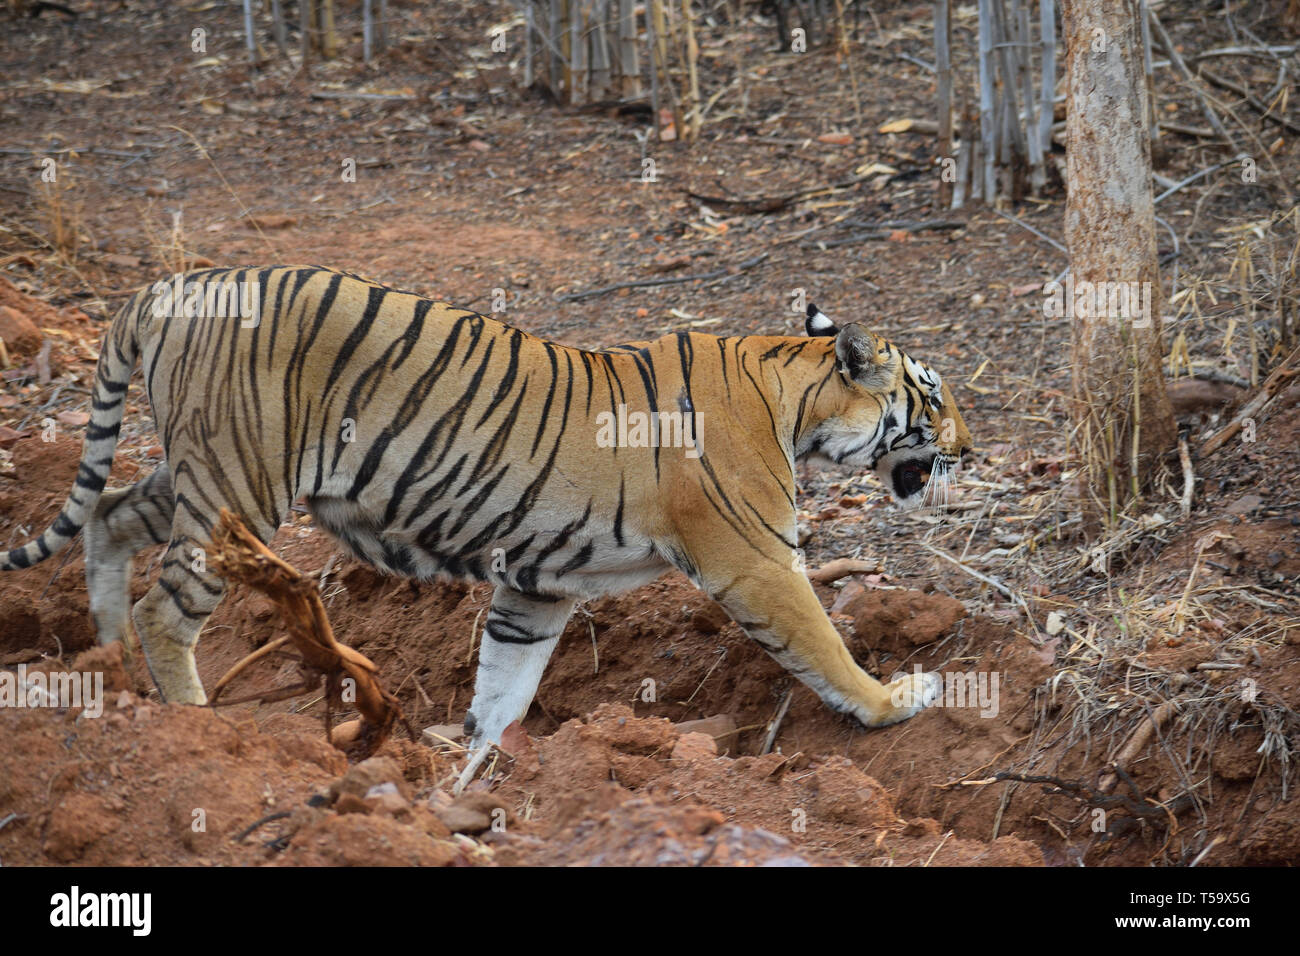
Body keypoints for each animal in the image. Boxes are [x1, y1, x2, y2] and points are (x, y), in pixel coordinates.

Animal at [1, 265, 971, 780]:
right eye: (934, 396)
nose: (972, 444)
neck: (791, 388)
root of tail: (170, 285)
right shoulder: (758, 560)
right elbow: (826, 645)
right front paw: (896, 702)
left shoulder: (536, 589)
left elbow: (502, 687)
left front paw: (467, 777)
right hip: (238, 483)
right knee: (168, 607)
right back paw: (197, 728)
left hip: (200, 471)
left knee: (112, 517)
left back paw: (113, 671)